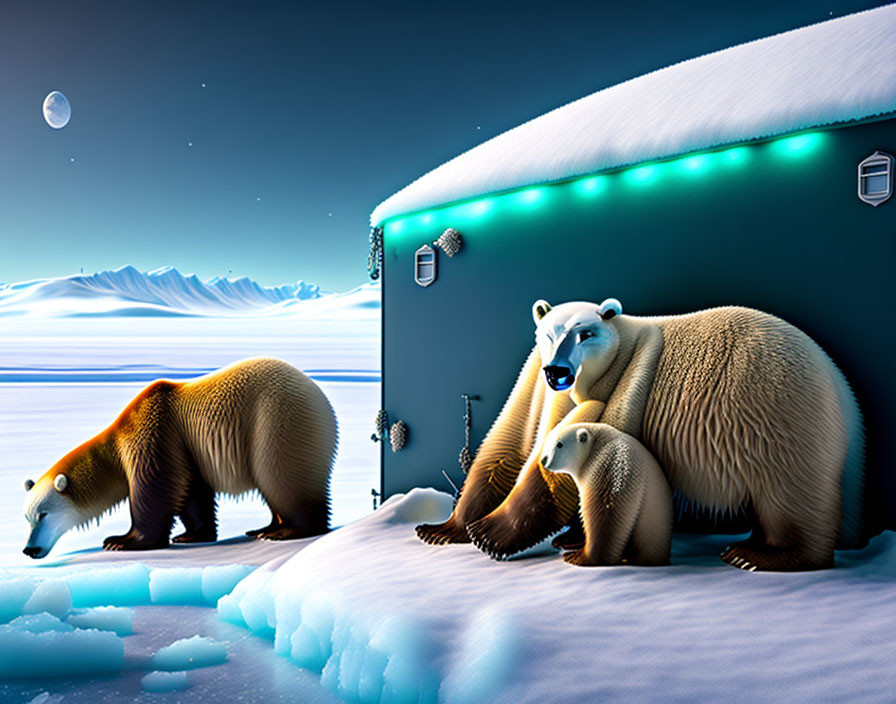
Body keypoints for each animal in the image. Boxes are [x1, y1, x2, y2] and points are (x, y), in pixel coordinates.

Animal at [544, 424, 668, 568]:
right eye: (547, 442)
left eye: (559, 444)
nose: (543, 460)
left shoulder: (608, 465)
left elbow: (601, 510)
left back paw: (579, 557)